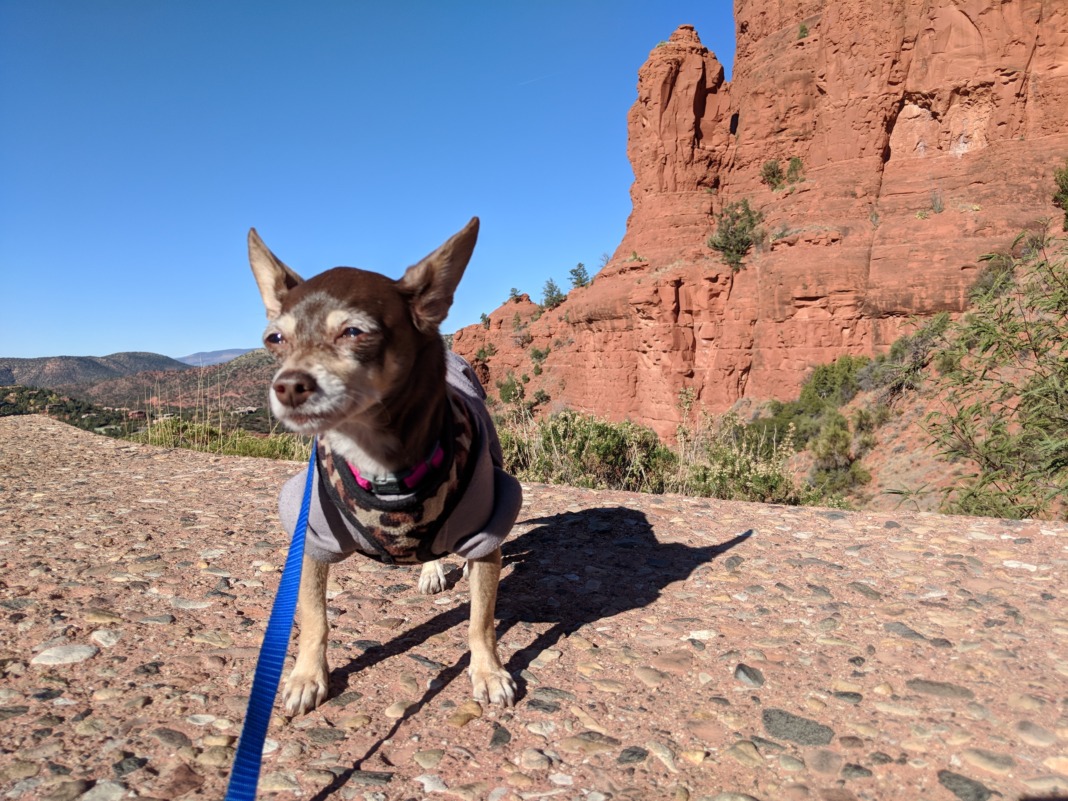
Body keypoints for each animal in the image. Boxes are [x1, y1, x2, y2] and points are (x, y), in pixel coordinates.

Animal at [246, 217, 521, 713]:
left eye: (354, 332)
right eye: (274, 339)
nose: (288, 385)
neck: (380, 466)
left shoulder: (486, 535)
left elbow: (481, 621)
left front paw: (488, 673)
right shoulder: (312, 541)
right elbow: (313, 617)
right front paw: (306, 677)